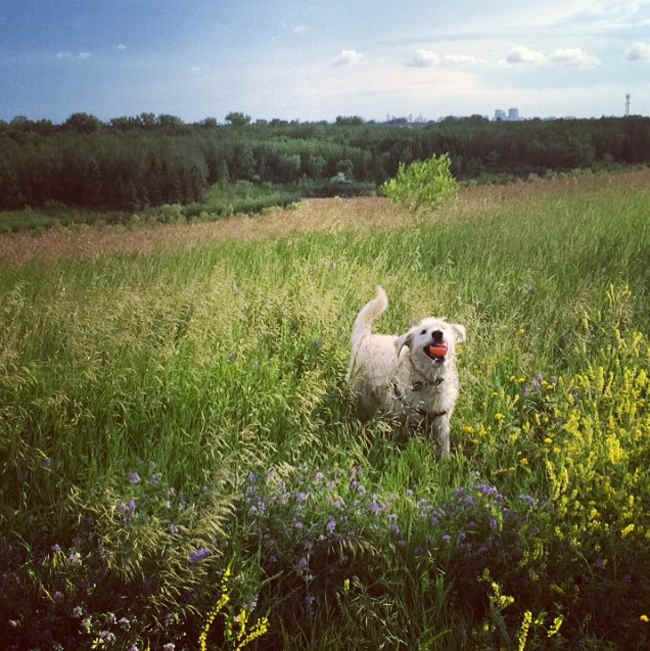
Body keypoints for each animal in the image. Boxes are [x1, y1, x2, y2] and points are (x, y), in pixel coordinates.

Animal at [346, 286, 465, 457]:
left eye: (443, 328)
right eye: (423, 332)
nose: (437, 333)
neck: (429, 380)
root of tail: (365, 338)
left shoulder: (441, 421)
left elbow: (443, 447)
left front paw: (445, 461)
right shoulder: (404, 417)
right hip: (360, 392)